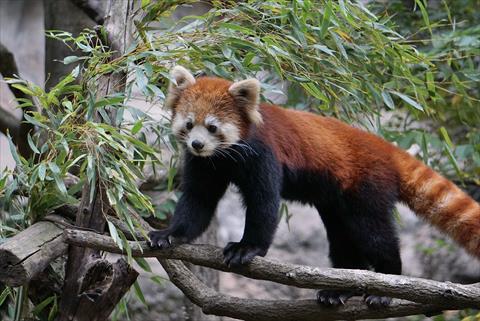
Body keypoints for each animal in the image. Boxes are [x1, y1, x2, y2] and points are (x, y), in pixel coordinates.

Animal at [150, 64, 480, 304]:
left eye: (212, 127)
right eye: (189, 124)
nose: (196, 144)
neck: (224, 157)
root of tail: (385, 149)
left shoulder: (262, 155)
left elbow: (263, 202)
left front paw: (247, 248)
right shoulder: (207, 165)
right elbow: (198, 199)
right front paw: (171, 234)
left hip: (366, 187)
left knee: (375, 234)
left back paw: (385, 284)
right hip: (337, 203)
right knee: (343, 238)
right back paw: (341, 288)